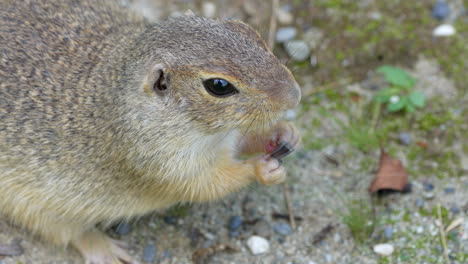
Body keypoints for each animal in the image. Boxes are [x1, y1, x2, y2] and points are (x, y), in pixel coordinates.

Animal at [0, 0, 300, 262]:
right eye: (218, 85)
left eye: (247, 30)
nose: (294, 95)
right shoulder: (163, 165)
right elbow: (211, 184)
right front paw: (261, 168)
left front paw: (282, 134)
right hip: (31, 205)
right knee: (69, 233)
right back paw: (105, 250)